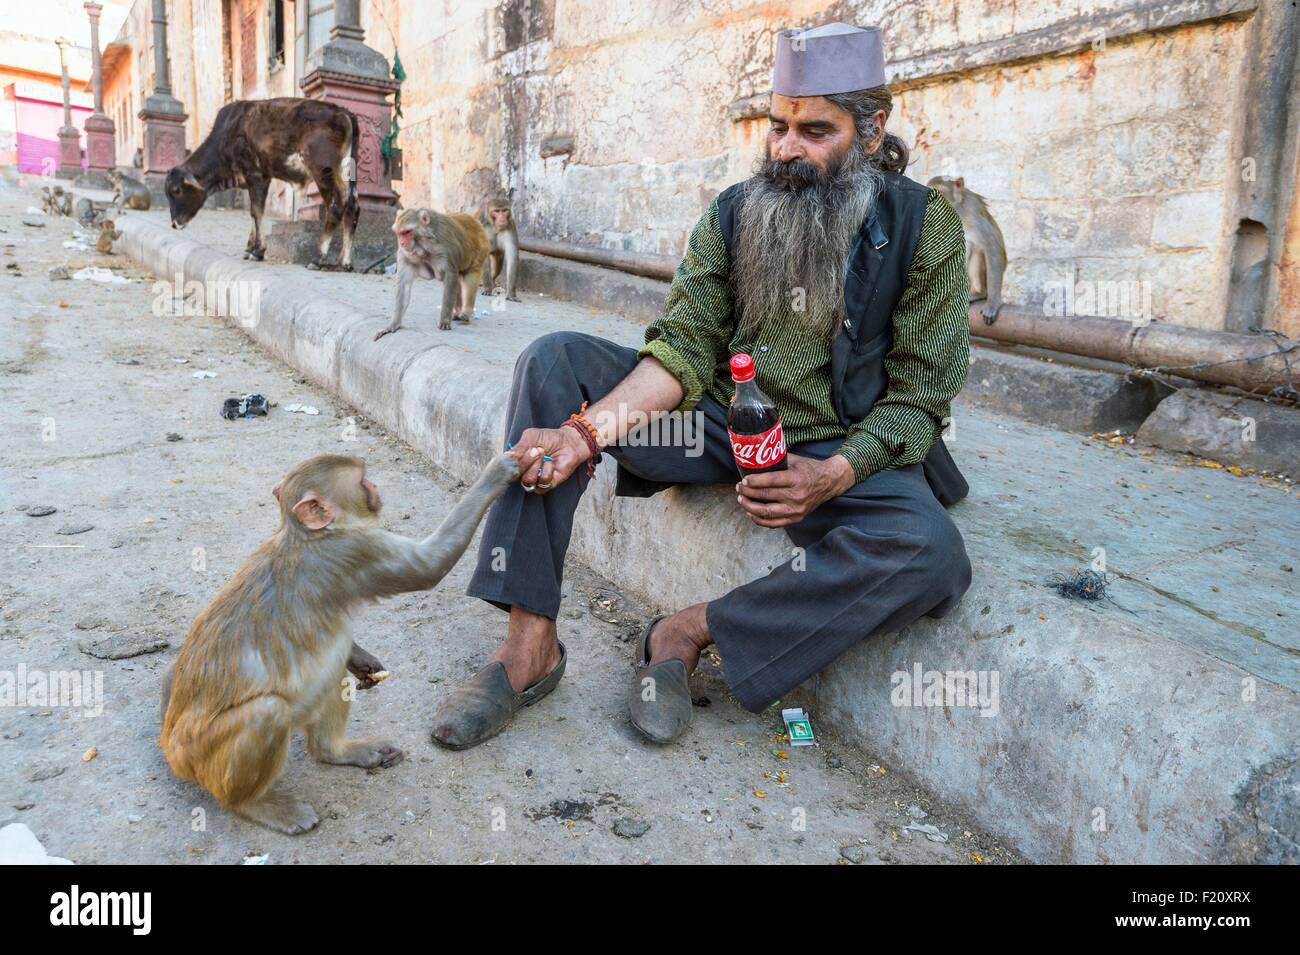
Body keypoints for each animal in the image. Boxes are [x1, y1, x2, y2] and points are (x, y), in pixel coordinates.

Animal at [159, 451, 519, 834]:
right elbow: (429, 563)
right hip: (203, 756)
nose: (375, 487)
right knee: (267, 712)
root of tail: (169, 745)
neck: (305, 536)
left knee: (330, 671)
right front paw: (497, 472)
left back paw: (334, 751)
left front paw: (362, 661)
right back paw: (255, 804)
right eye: (362, 481)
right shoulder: (356, 549)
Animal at [374, 207, 490, 340]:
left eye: (407, 232)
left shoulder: (445, 249)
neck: (423, 245)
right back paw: (457, 313)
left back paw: (465, 313)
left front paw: (444, 321)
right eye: (399, 233)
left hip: (481, 250)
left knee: (468, 278)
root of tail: (475, 220)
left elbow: (450, 275)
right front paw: (394, 324)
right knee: (458, 281)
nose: (402, 243)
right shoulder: (405, 254)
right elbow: (404, 284)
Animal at [927, 175, 1006, 324]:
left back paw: (980, 294)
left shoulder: (973, 213)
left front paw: (993, 303)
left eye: (940, 193)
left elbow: (992, 248)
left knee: (977, 249)